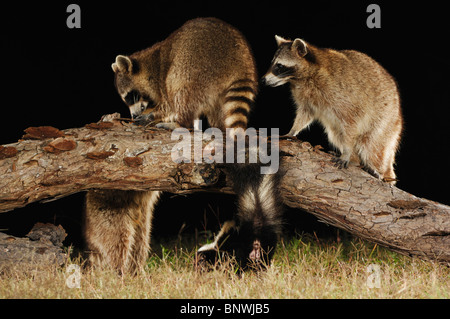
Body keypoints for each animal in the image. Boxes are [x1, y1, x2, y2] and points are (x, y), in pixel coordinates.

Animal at [84, 16, 282, 276]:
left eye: (130, 96)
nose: (134, 115)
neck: (149, 61)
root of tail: (239, 66)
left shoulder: (161, 80)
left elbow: (168, 100)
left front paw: (156, 115)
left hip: (196, 67)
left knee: (181, 88)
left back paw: (179, 122)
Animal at [262, 35, 402, 184]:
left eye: (279, 66)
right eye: (273, 64)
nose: (263, 80)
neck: (300, 79)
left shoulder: (343, 95)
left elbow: (351, 122)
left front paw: (347, 152)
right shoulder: (306, 98)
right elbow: (305, 114)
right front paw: (292, 131)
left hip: (385, 119)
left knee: (372, 146)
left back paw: (377, 170)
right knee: (337, 135)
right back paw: (355, 160)